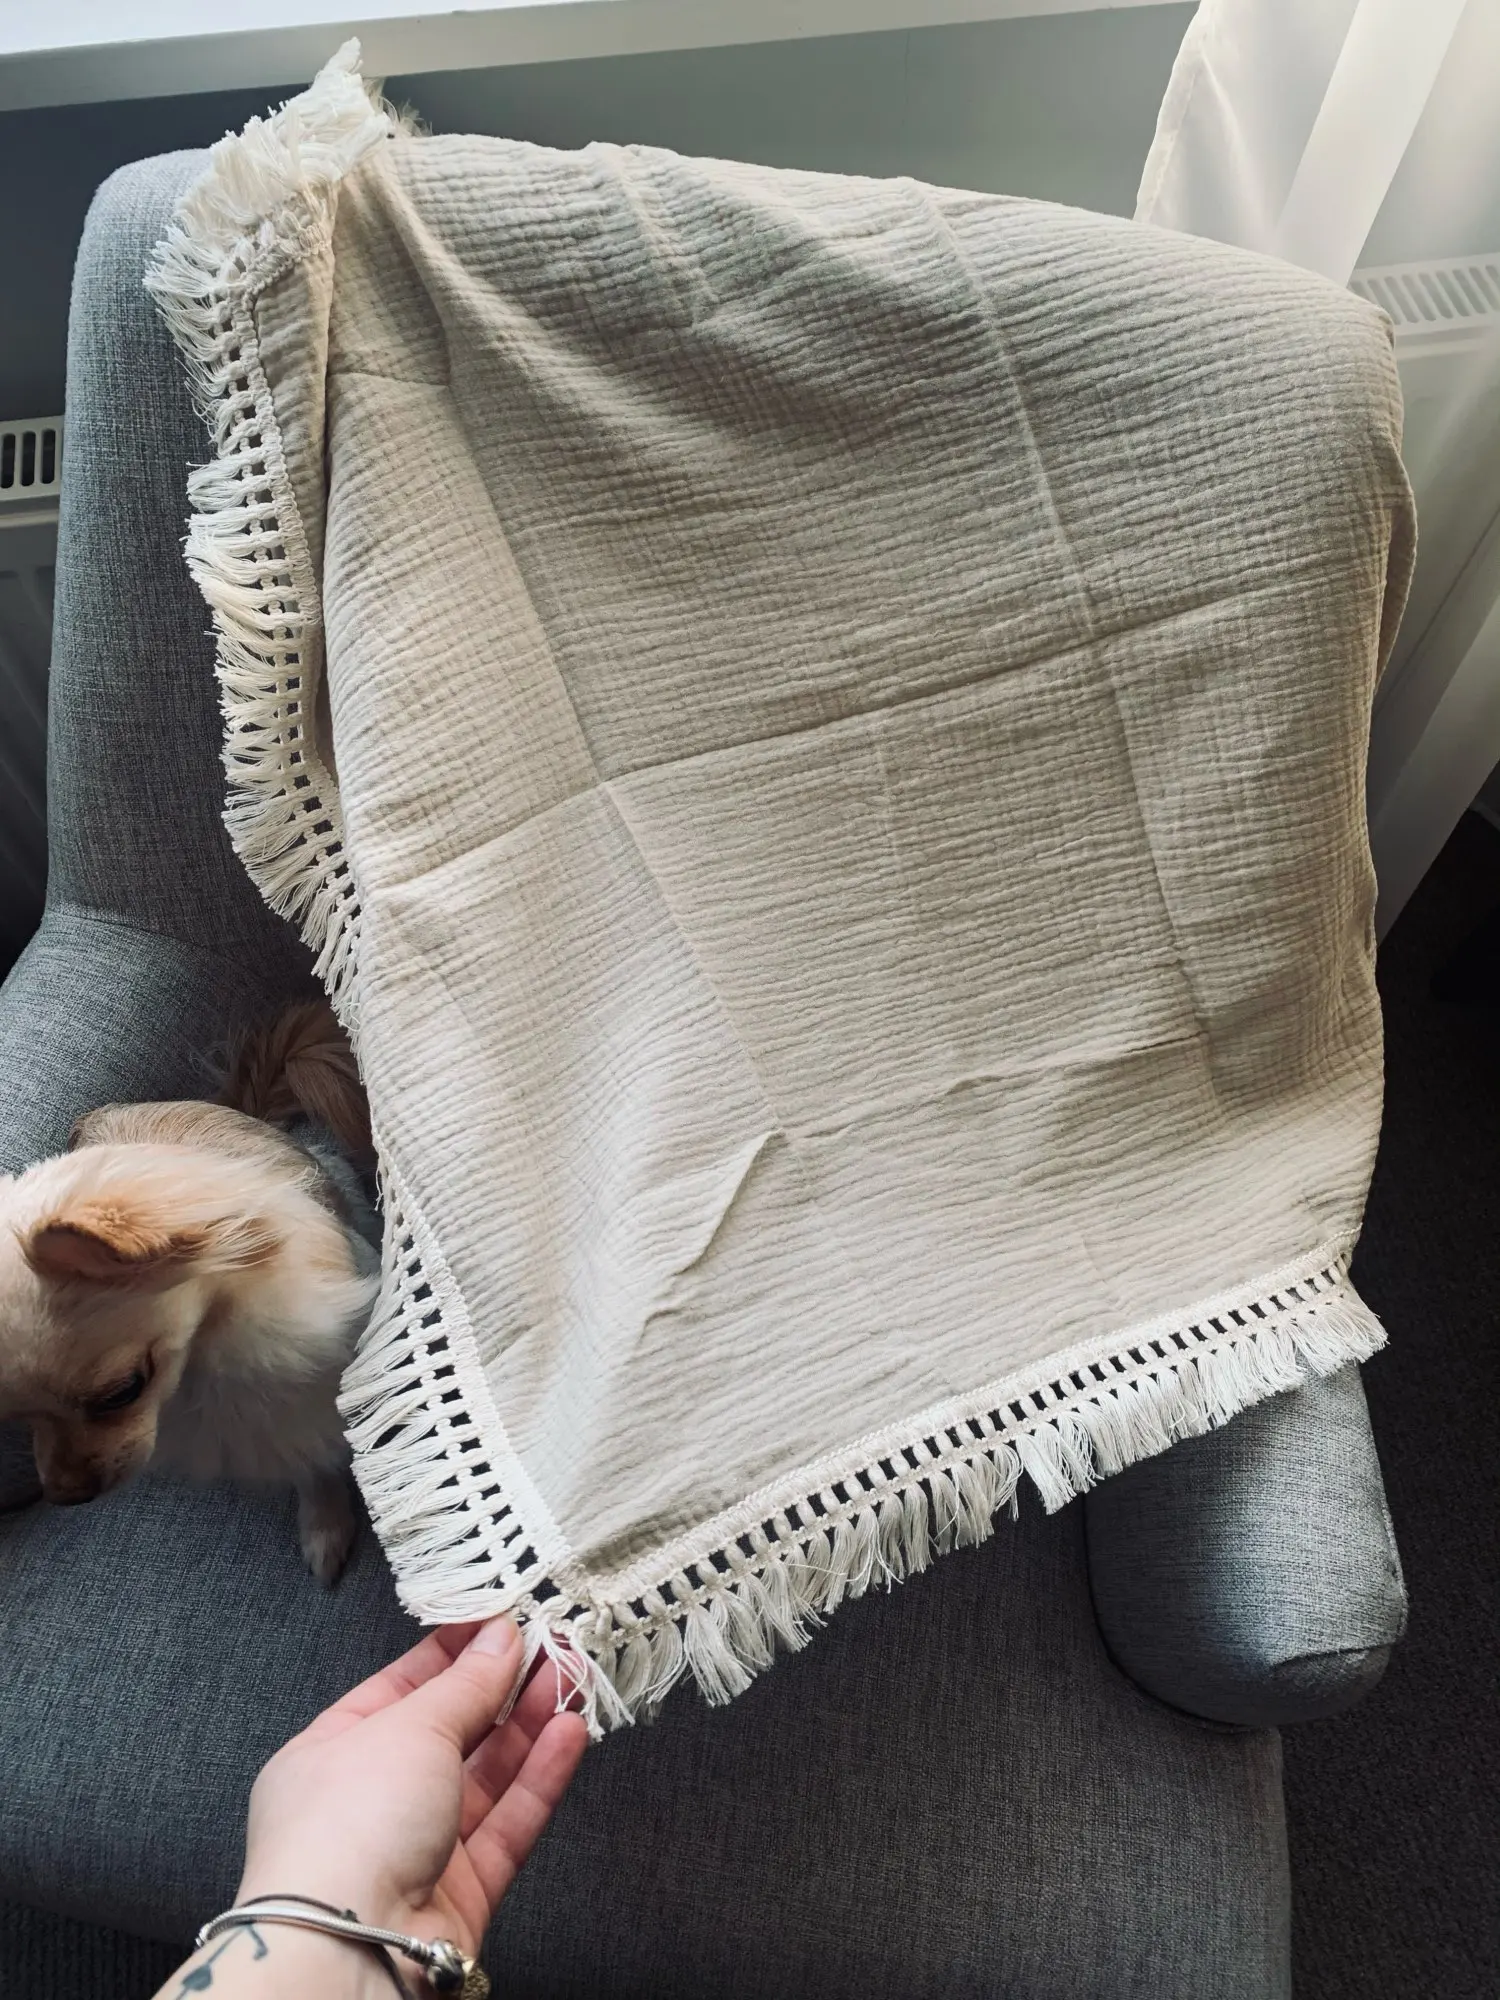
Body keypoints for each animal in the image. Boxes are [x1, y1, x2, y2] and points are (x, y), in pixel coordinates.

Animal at [0, 1002, 379, 1583]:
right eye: (16, 1417)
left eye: (123, 1393)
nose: (66, 1495)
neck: (208, 1359)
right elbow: (310, 1463)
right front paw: (326, 1524)